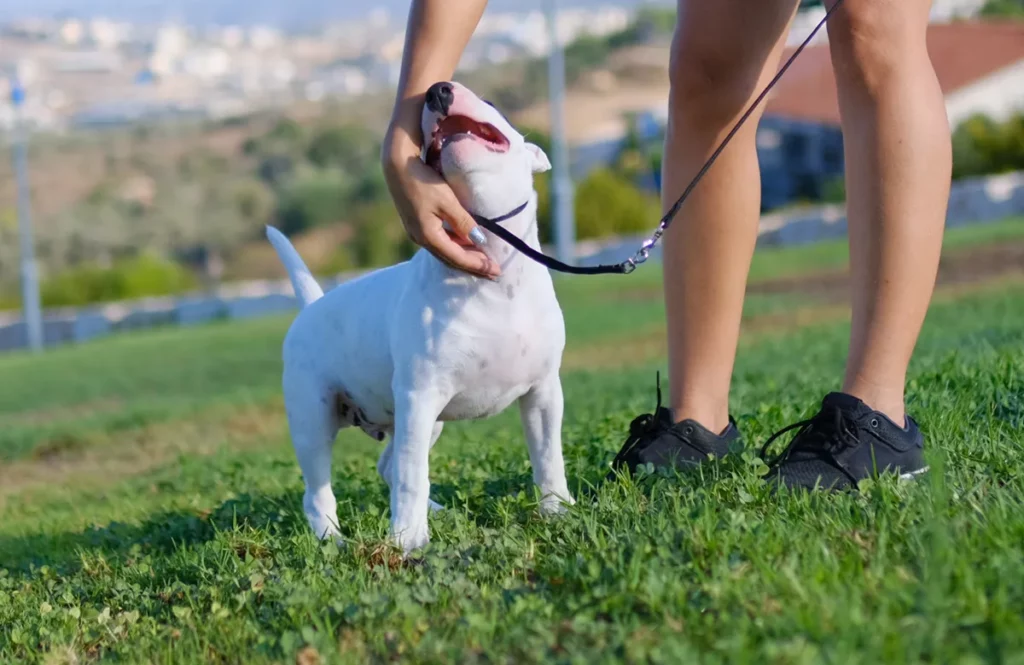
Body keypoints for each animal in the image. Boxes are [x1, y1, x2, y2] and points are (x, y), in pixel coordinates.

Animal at [266, 80, 577, 553]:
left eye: (491, 102)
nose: (437, 90)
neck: (494, 271)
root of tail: (312, 305)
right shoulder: (420, 396)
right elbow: (414, 475)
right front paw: (408, 540)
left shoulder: (543, 392)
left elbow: (547, 456)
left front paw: (558, 510)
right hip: (314, 416)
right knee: (322, 489)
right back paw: (332, 539)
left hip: (421, 421)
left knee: (387, 466)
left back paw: (438, 512)